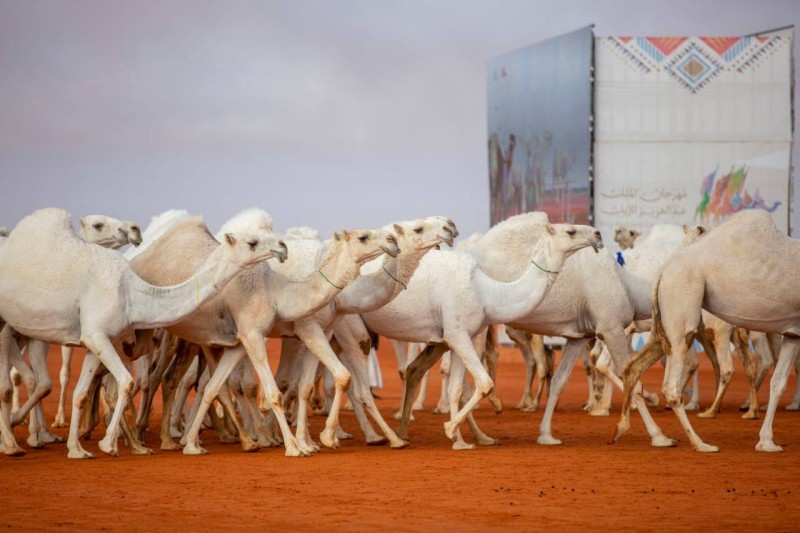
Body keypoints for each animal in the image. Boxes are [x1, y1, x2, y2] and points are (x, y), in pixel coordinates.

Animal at [616, 210, 800, 450]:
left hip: (665, 326)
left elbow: (778, 383)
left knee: (633, 367)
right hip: (683, 318)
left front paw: (767, 442)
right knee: (674, 384)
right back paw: (701, 441)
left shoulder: (792, 333)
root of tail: (663, 270)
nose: (617, 232)